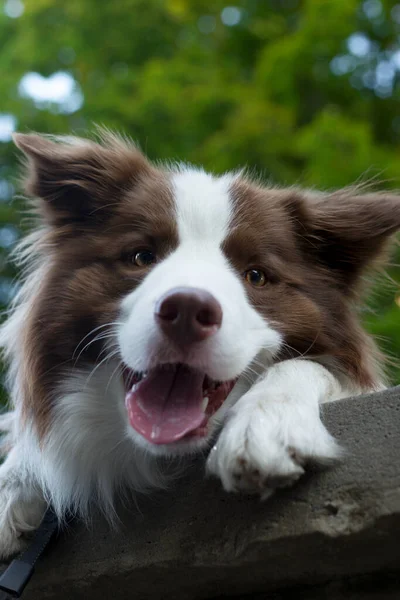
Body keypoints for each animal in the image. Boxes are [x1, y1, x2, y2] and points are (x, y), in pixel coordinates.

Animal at [0, 130, 400, 556]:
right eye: (141, 256)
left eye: (256, 275)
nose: (187, 310)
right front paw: (13, 480)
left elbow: (306, 367)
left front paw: (265, 426)